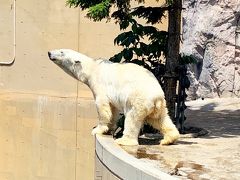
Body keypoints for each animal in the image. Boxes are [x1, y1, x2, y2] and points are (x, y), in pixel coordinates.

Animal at [47, 48, 179, 145]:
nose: (49, 53)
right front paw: (109, 129)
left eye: (62, 51)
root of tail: (157, 97)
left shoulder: (99, 84)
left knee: (132, 118)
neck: (93, 68)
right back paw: (168, 139)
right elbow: (113, 110)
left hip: (138, 99)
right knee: (160, 119)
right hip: (159, 106)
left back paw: (124, 140)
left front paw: (97, 129)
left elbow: (102, 106)